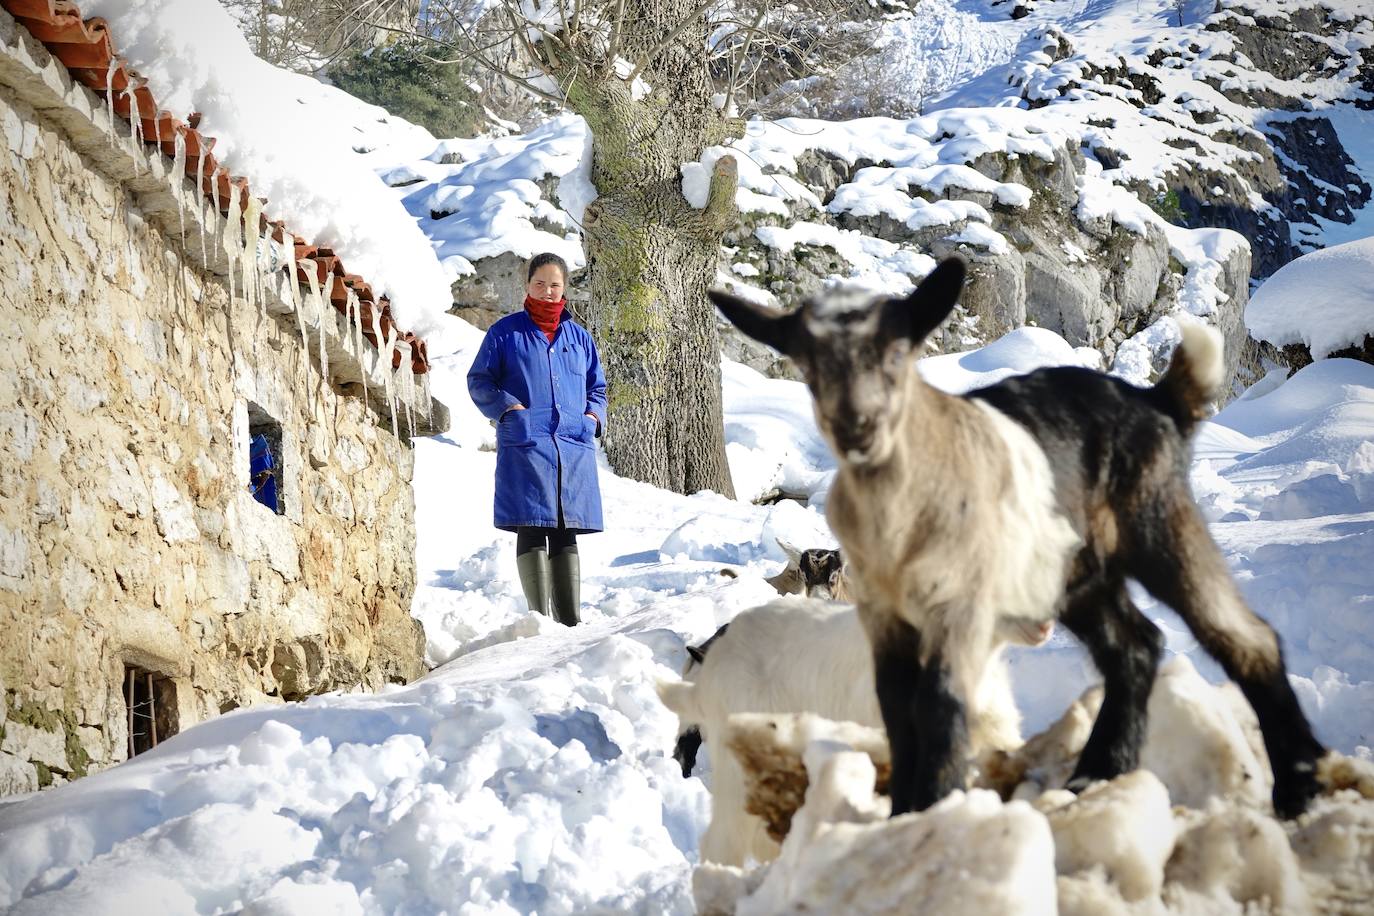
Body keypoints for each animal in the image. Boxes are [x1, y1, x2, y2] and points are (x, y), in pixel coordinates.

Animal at [708, 259, 1319, 823]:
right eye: (808, 368)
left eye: (897, 355)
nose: (858, 428)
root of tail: (1158, 400)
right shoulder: (884, 613)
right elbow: (898, 711)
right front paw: (902, 816)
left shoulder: (962, 602)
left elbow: (940, 705)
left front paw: (933, 810)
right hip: (1075, 570)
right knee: (1135, 646)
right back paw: (1096, 777)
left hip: (1157, 516)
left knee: (1244, 634)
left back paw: (1298, 791)